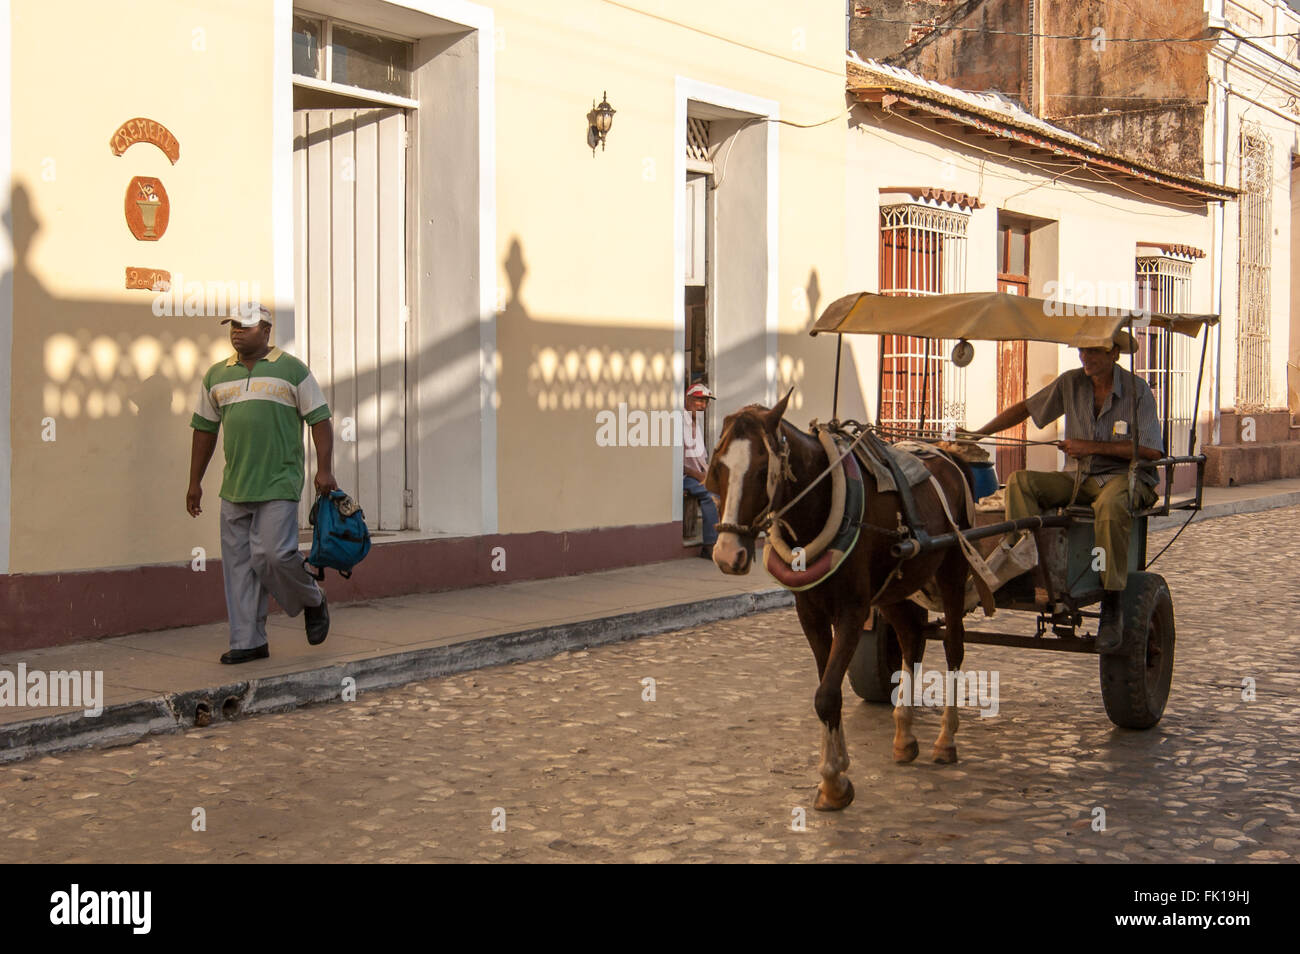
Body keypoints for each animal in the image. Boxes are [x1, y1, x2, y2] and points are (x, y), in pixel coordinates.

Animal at [712, 389, 977, 816]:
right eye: (719, 467)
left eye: (760, 469)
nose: (726, 555)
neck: (820, 507)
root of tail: (948, 455)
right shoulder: (810, 613)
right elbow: (827, 689)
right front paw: (833, 778)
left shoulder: (853, 612)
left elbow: (826, 694)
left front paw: (834, 781)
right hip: (893, 588)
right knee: (911, 638)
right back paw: (904, 736)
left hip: (952, 572)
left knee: (954, 646)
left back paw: (945, 740)